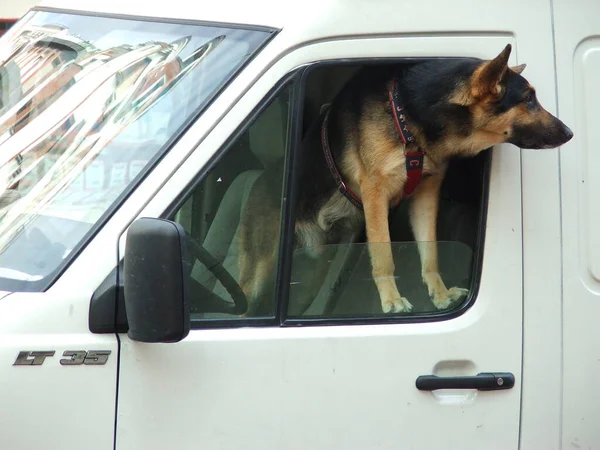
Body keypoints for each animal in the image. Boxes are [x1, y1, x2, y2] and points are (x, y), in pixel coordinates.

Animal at [237, 44, 576, 314]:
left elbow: (430, 251)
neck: (410, 119)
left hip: (310, 272)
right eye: (529, 99)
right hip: (260, 272)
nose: (570, 133)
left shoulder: (425, 195)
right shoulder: (375, 194)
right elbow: (384, 253)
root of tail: (263, 179)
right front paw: (391, 299)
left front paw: (439, 294)